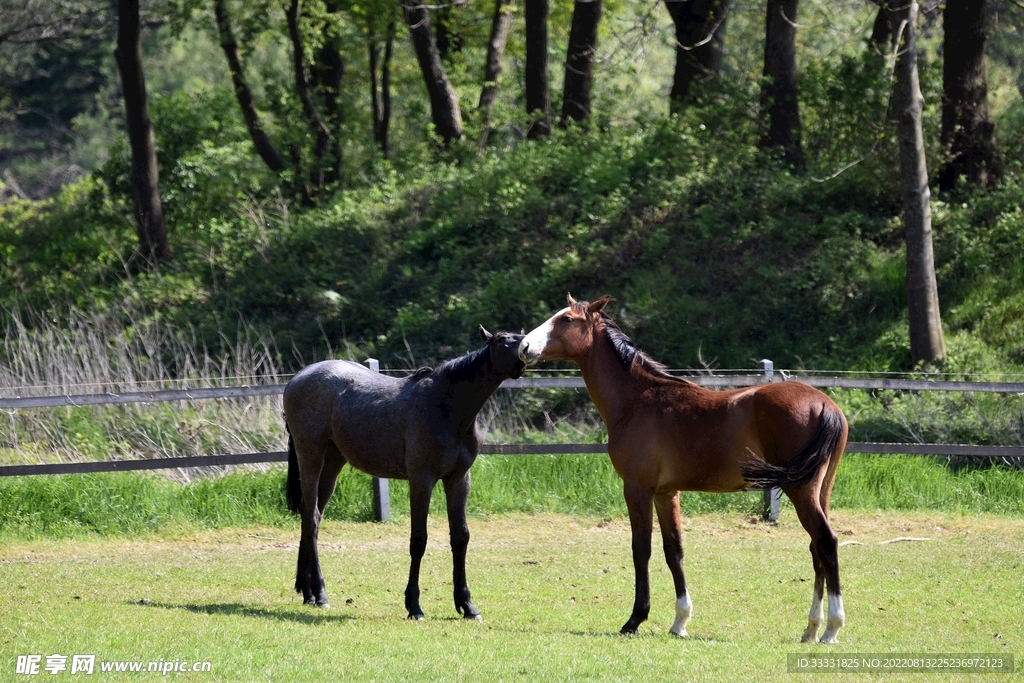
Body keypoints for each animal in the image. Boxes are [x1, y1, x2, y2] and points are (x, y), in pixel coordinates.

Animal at [283, 326, 525, 620]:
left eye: (521, 336)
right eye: (502, 340)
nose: (527, 350)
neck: (447, 406)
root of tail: (297, 379)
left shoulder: (458, 480)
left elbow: (460, 537)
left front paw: (467, 605)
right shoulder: (422, 480)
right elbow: (418, 540)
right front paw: (414, 606)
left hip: (332, 463)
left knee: (312, 518)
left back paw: (306, 590)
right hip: (311, 458)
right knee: (311, 518)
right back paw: (319, 593)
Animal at [518, 295, 849, 643]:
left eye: (567, 319)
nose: (524, 346)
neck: (637, 399)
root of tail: (825, 404)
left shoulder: (637, 488)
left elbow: (641, 549)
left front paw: (635, 619)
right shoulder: (666, 493)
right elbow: (673, 550)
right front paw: (680, 621)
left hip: (800, 491)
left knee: (827, 542)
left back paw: (832, 627)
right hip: (820, 491)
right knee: (816, 549)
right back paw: (811, 628)